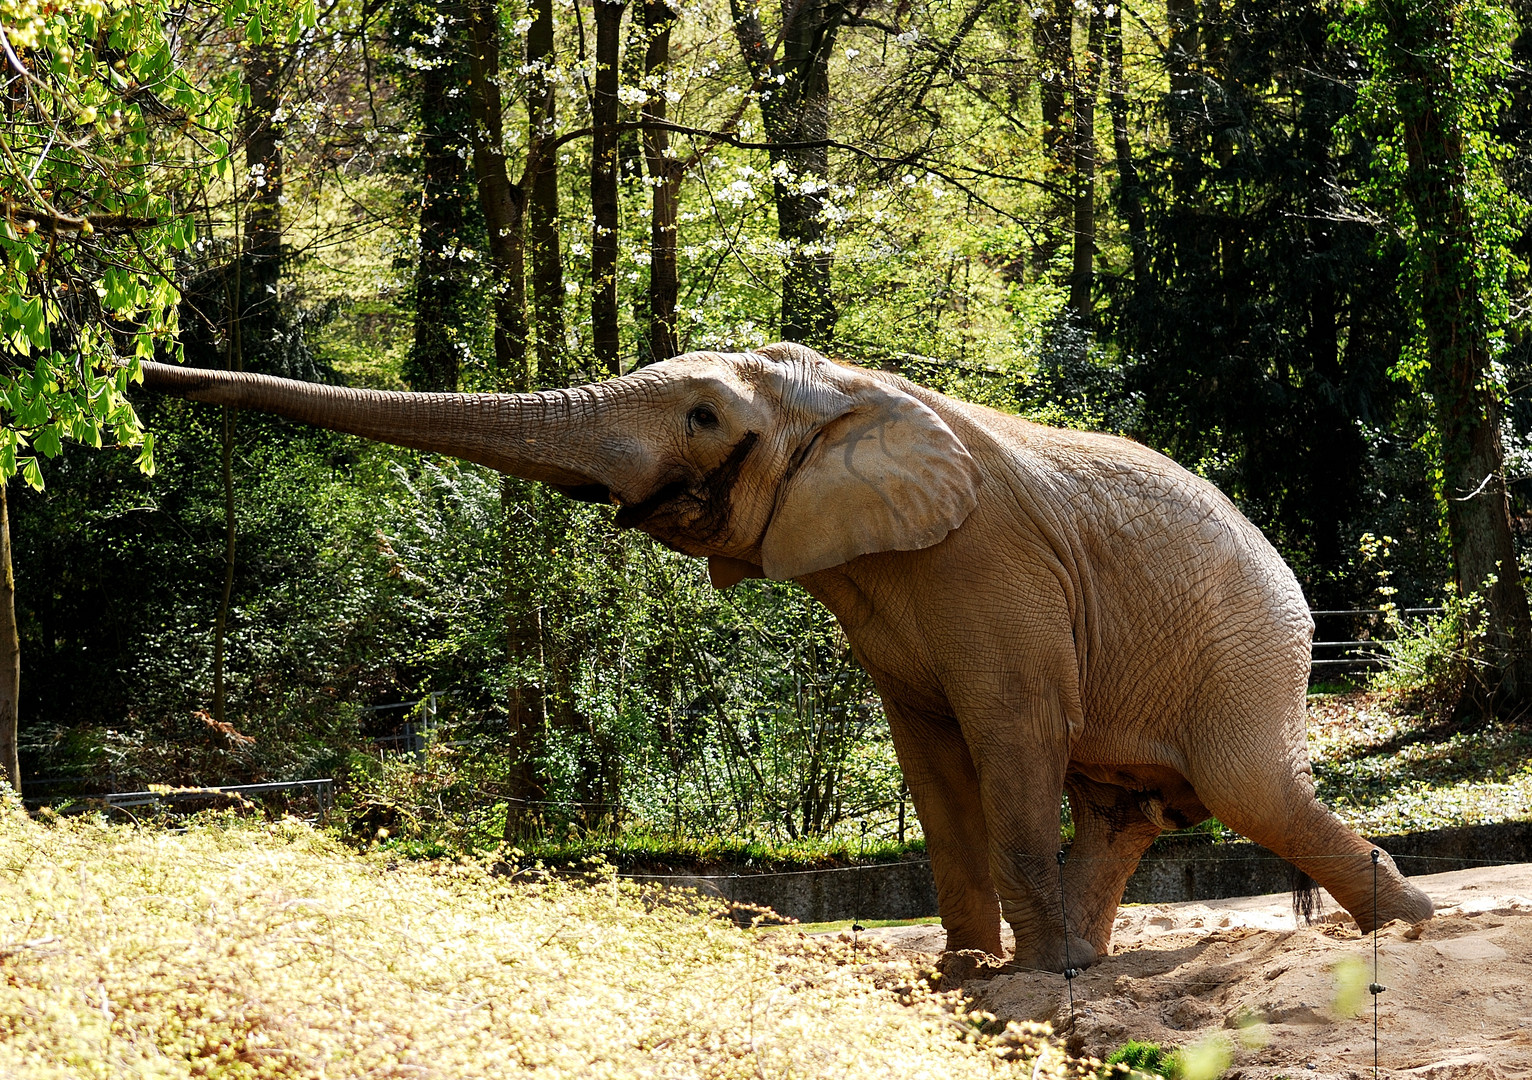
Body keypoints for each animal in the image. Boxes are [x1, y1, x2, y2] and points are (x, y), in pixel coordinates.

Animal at [140, 343, 1433, 968]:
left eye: (705, 416)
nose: (137, 365)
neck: (852, 395)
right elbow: (930, 757)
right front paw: (974, 978)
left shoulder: (989, 563)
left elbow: (1008, 734)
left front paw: (1033, 986)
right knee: (1130, 812)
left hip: (1242, 651)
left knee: (1244, 792)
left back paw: (1411, 934)